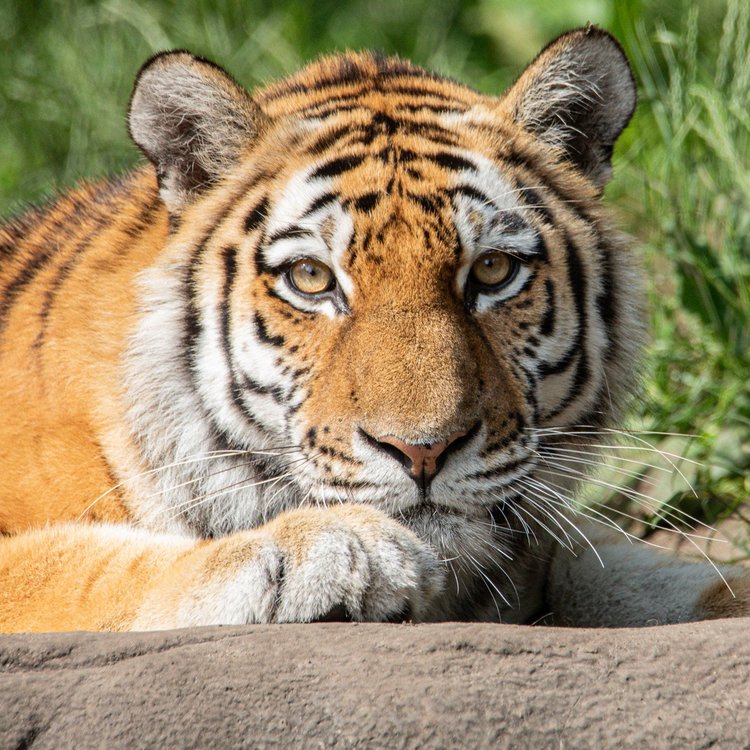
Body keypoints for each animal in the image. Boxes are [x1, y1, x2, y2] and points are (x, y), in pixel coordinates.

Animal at [1, 26, 748, 633]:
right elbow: (75, 566)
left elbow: (615, 559)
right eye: (311, 278)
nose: (423, 451)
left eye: (493, 270)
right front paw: (331, 548)